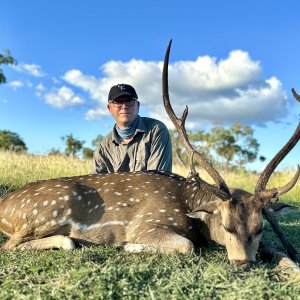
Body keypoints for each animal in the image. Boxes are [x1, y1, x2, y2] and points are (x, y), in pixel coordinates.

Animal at [0, 40, 298, 268]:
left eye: (260, 227)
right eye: (226, 226)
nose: (244, 264)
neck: (188, 207)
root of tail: (4, 205)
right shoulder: (147, 224)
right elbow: (186, 245)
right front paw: (126, 245)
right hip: (51, 209)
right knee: (14, 244)